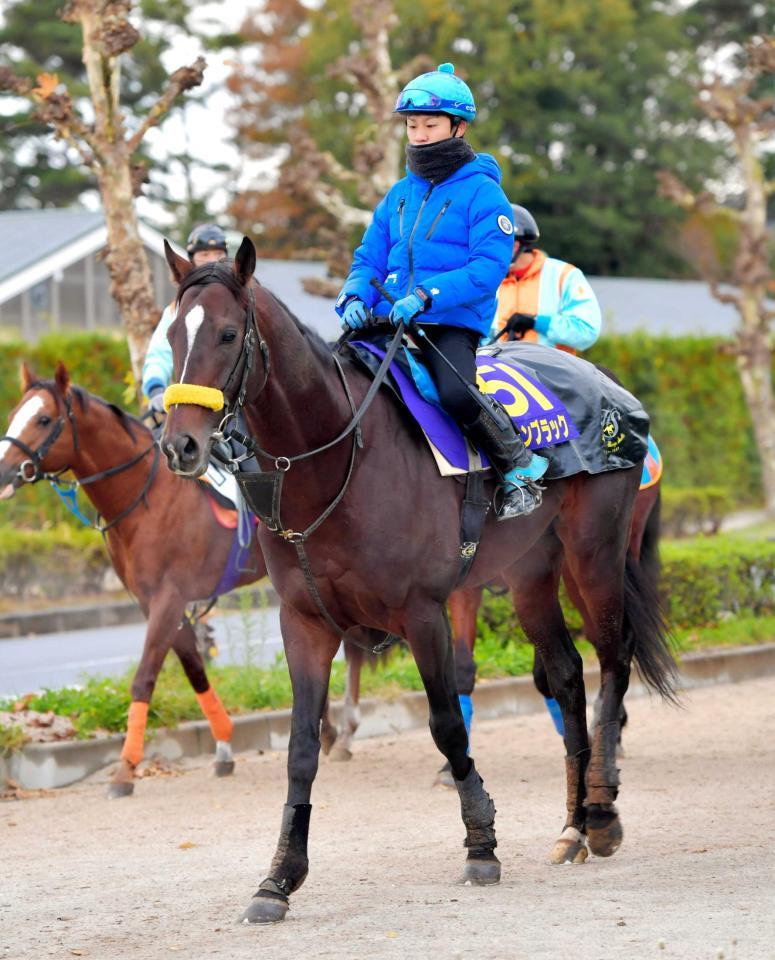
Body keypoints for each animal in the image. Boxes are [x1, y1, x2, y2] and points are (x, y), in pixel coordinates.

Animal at [0, 364, 270, 800]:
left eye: (43, 419)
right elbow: (194, 668)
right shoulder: (157, 602)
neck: (149, 498)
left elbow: (143, 679)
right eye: (13, 415)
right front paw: (224, 748)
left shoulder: (168, 599)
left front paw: (125, 769)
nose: (3, 473)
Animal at [161, 240, 676, 924]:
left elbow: (447, 724)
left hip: (594, 552)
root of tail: (611, 391)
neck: (340, 459)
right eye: (172, 334)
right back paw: (569, 829)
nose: (181, 446)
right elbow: (300, 747)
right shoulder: (305, 623)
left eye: (225, 333)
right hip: (530, 573)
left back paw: (599, 814)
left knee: (613, 661)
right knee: (567, 676)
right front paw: (279, 878)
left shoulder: (423, 612)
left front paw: (481, 844)